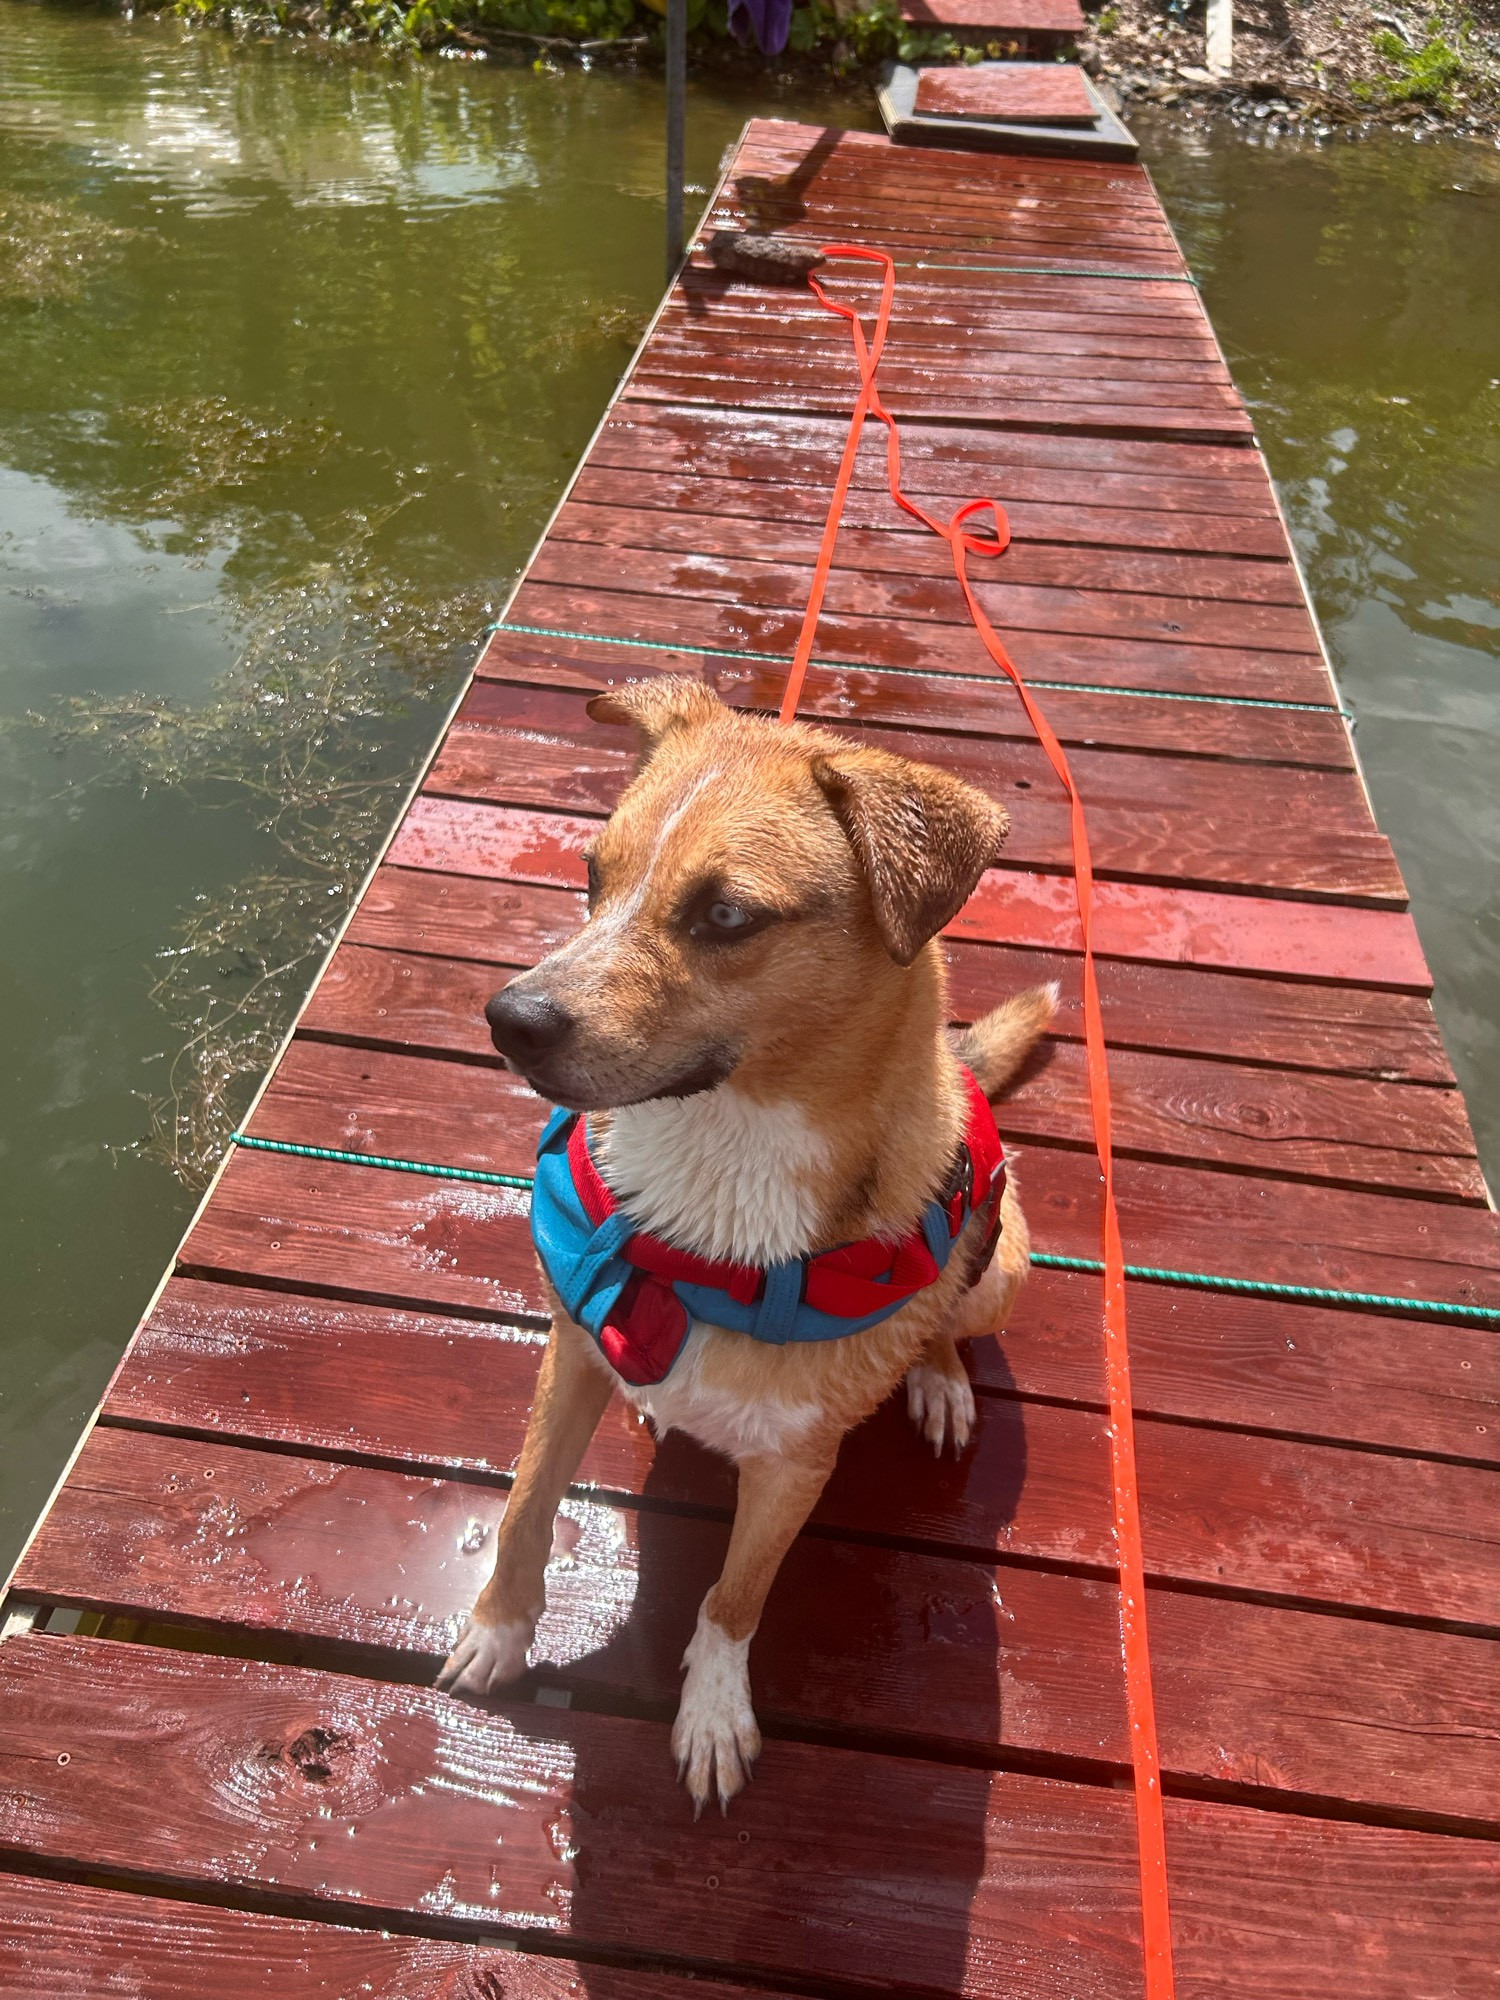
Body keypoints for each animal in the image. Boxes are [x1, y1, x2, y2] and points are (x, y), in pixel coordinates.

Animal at [438, 676, 1056, 1816]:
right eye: (591, 874)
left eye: (725, 914)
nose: (510, 1019)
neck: (723, 1160)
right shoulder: (569, 1352)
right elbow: (526, 1507)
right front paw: (496, 1630)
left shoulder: (795, 1464)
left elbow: (734, 1595)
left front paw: (714, 1712)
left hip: (1004, 1262)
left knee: (952, 1314)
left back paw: (939, 1375)